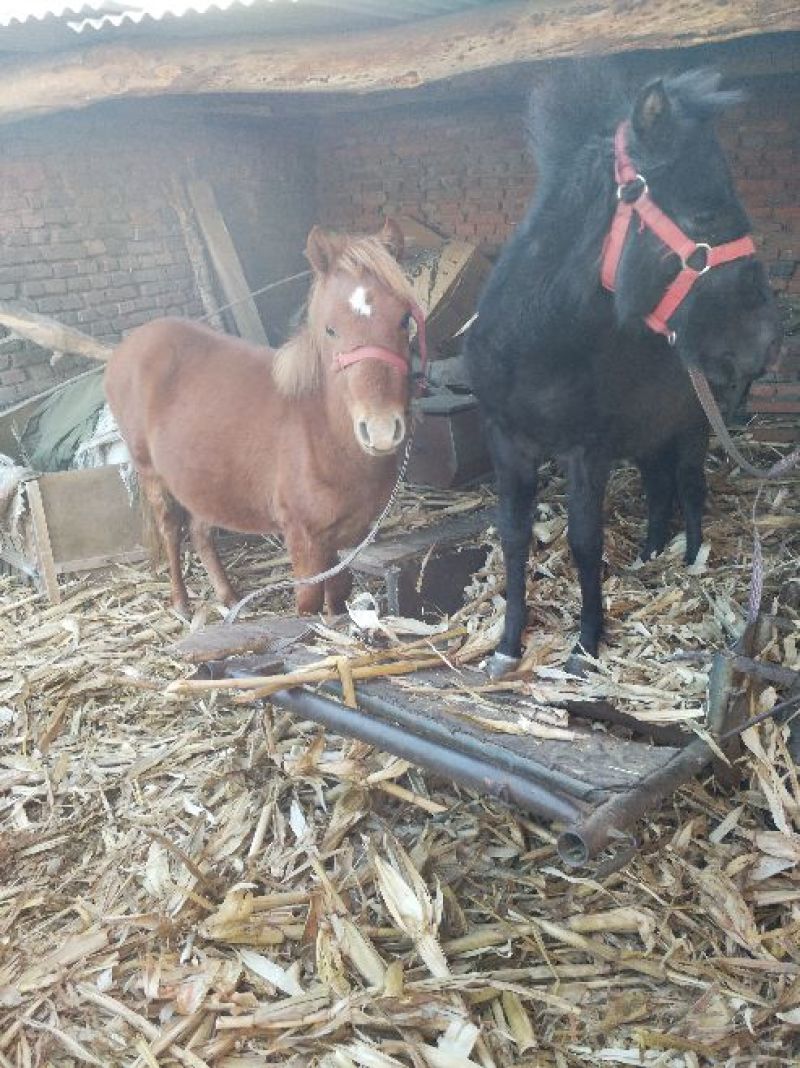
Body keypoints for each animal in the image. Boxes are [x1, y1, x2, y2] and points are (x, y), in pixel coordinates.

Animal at [105, 219, 421, 617]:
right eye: (330, 329)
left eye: (404, 319)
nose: (380, 431)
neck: (321, 433)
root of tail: (126, 348)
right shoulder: (303, 538)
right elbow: (308, 604)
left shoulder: (349, 534)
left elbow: (337, 594)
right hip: (152, 475)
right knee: (171, 531)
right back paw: (181, 603)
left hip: (204, 479)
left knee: (201, 533)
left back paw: (229, 599)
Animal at [464, 63, 782, 679]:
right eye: (706, 215)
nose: (766, 343)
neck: (534, 346)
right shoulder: (505, 441)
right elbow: (513, 536)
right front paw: (508, 644)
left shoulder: (586, 451)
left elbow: (585, 542)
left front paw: (586, 643)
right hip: (645, 435)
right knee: (659, 488)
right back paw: (651, 550)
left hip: (689, 428)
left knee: (689, 487)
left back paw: (689, 558)